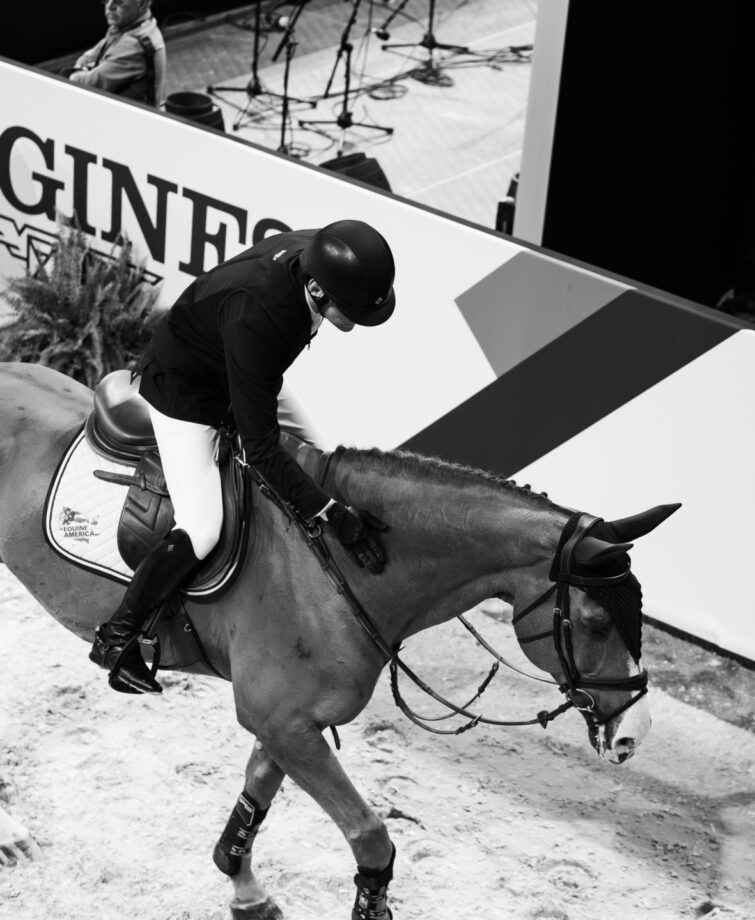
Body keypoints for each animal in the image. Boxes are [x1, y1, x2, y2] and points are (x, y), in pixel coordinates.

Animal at [0, 361, 679, 918]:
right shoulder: (282, 721)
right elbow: (371, 836)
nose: (634, 733)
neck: (343, 563)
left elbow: (253, 803)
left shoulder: (290, 722)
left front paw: (246, 892)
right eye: (595, 623)